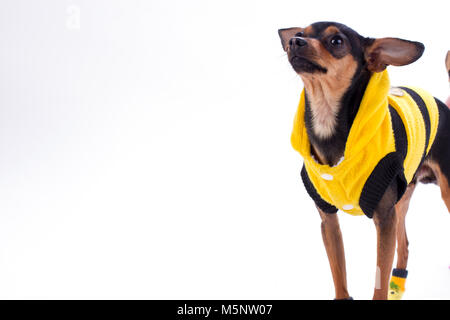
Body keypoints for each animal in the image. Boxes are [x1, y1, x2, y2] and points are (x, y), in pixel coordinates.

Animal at [278, 22, 450, 300]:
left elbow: (378, 281)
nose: (294, 41)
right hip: (401, 199)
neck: (327, 122)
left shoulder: (384, 220)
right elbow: (339, 274)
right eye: (300, 33)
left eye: (337, 41)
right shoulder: (329, 221)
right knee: (404, 245)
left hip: (443, 192)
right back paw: (397, 285)